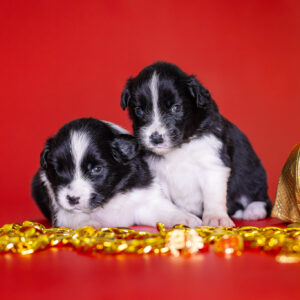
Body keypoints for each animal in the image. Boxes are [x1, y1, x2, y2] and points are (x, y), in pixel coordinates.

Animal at [31, 118, 202, 229]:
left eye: (96, 169)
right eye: (58, 170)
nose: (72, 199)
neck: (108, 200)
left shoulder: (144, 199)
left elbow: (165, 210)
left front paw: (186, 218)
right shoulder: (60, 210)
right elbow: (74, 216)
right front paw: (89, 224)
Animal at [120, 61, 274, 227]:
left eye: (176, 108)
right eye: (139, 110)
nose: (156, 138)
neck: (180, 147)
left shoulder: (213, 164)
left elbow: (213, 195)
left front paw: (216, 217)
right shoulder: (157, 174)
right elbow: (164, 202)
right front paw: (176, 216)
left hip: (252, 174)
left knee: (259, 197)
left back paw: (254, 210)